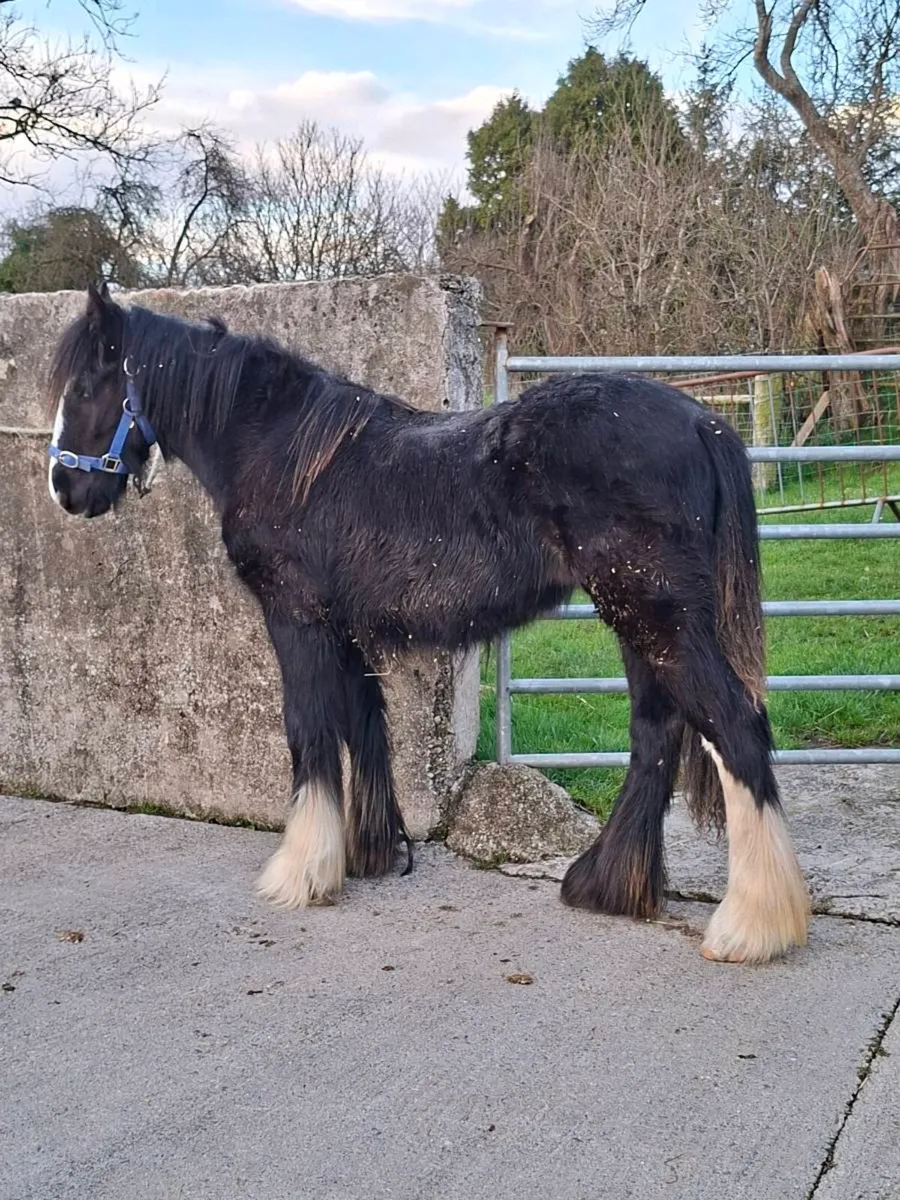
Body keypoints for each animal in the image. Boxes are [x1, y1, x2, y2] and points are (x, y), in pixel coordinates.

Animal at [46, 283, 810, 964]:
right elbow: (364, 725)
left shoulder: (296, 618)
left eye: (84, 389)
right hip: (638, 618)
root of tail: (702, 422)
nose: (64, 488)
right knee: (657, 732)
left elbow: (310, 729)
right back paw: (607, 886)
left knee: (732, 725)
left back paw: (751, 925)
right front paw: (371, 853)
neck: (277, 448)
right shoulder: (344, 628)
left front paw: (301, 871)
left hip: (654, 614)